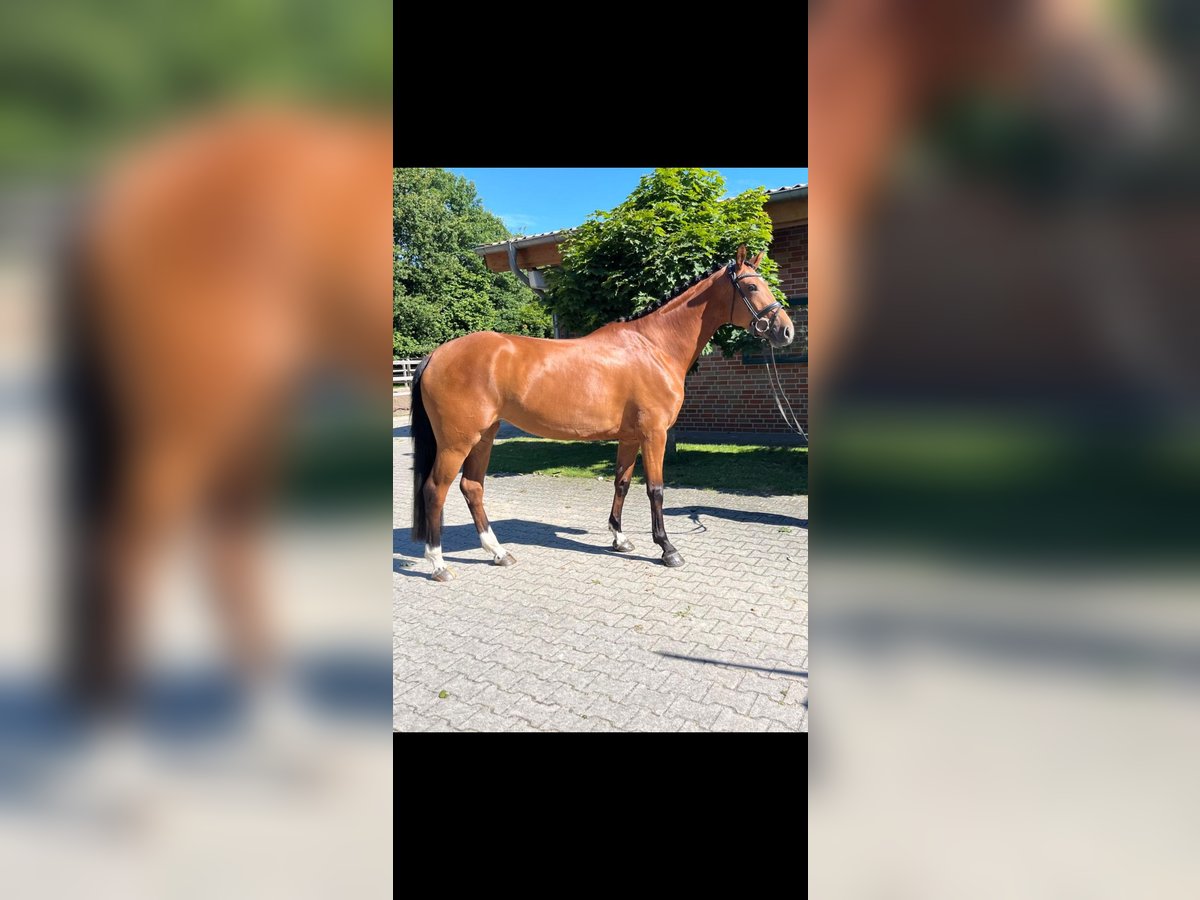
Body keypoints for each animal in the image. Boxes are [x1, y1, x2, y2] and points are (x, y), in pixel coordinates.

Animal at [408, 247, 792, 585]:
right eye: (752, 287)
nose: (786, 331)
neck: (654, 346)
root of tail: (435, 355)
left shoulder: (631, 437)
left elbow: (622, 483)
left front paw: (620, 539)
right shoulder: (654, 434)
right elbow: (655, 489)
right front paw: (667, 548)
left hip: (484, 437)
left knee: (472, 488)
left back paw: (498, 552)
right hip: (457, 442)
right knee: (435, 490)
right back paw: (438, 564)